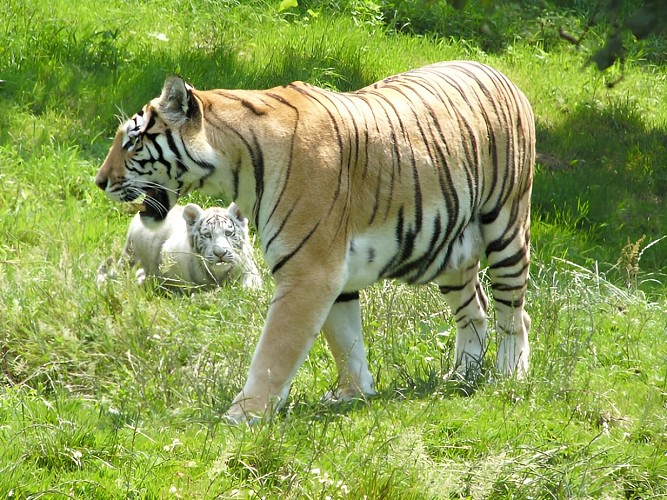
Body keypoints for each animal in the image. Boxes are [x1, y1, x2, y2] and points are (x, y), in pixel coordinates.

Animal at [99, 202, 263, 290]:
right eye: (207, 235)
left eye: (228, 233)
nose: (220, 253)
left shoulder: (249, 269)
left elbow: (252, 287)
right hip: (130, 256)